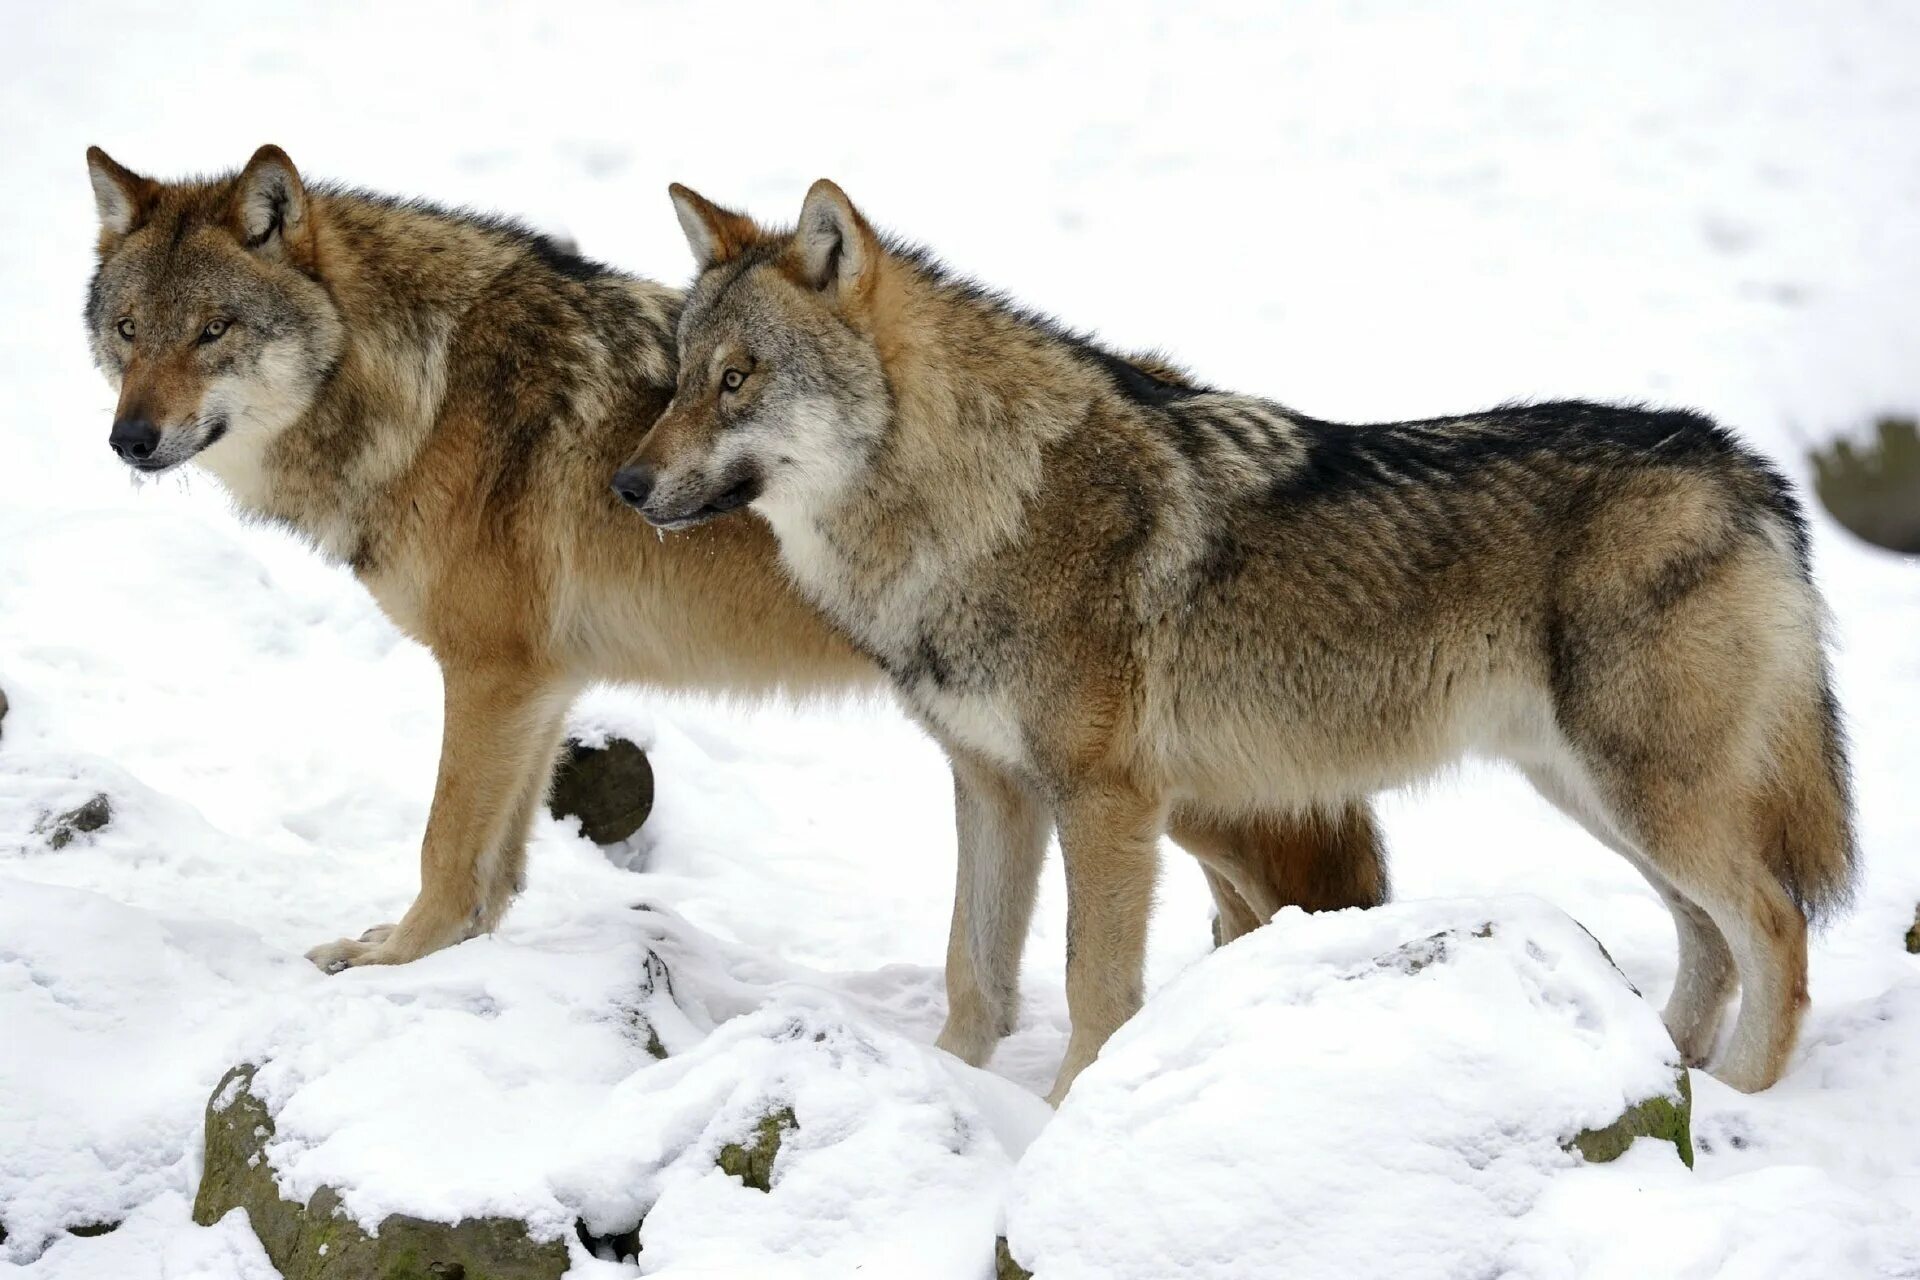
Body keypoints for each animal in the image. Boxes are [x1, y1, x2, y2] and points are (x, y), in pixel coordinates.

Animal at [82, 147, 1390, 990]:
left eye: (214, 331)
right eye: (129, 332)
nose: (129, 439)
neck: (428, 384)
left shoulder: (492, 673)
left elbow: (445, 848)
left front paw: (392, 960)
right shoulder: (542, 685)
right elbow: (497, 870)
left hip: (1164, 789)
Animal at [622, 177, 1850, 1105]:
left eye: (739, 381)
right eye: (679, 379)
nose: (626, 486)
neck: (977, 504)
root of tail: (1746, 465)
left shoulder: (1106, 803)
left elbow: (1093, 987)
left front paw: (1061, 1119)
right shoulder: (993, 785)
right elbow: (974, 971)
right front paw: (948, 1089)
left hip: (1647, 794)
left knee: (1777, 929)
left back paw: (1737, 1098)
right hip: (1597, 795)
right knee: (1708, 938)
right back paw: (1666, 1069)